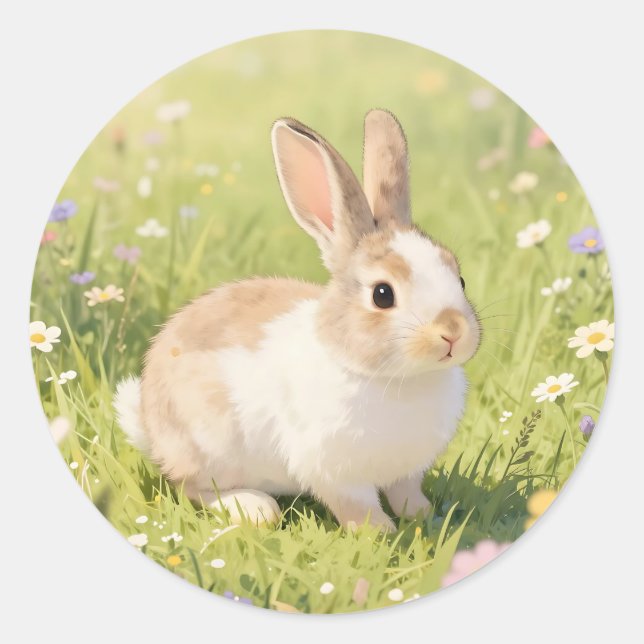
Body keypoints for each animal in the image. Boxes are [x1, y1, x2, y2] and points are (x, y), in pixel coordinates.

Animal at [114, 109, 481, 531]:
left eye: (460, 279)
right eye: (382, 295)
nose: (453, 332)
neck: (398, 378)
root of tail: (150, 426)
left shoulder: (407, 471)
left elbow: (407, 492)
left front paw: (424, 517)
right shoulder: (333, 471)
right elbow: (356, 505)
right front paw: (380, 532)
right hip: (208, 444)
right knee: (192, 488)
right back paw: (255, 508)